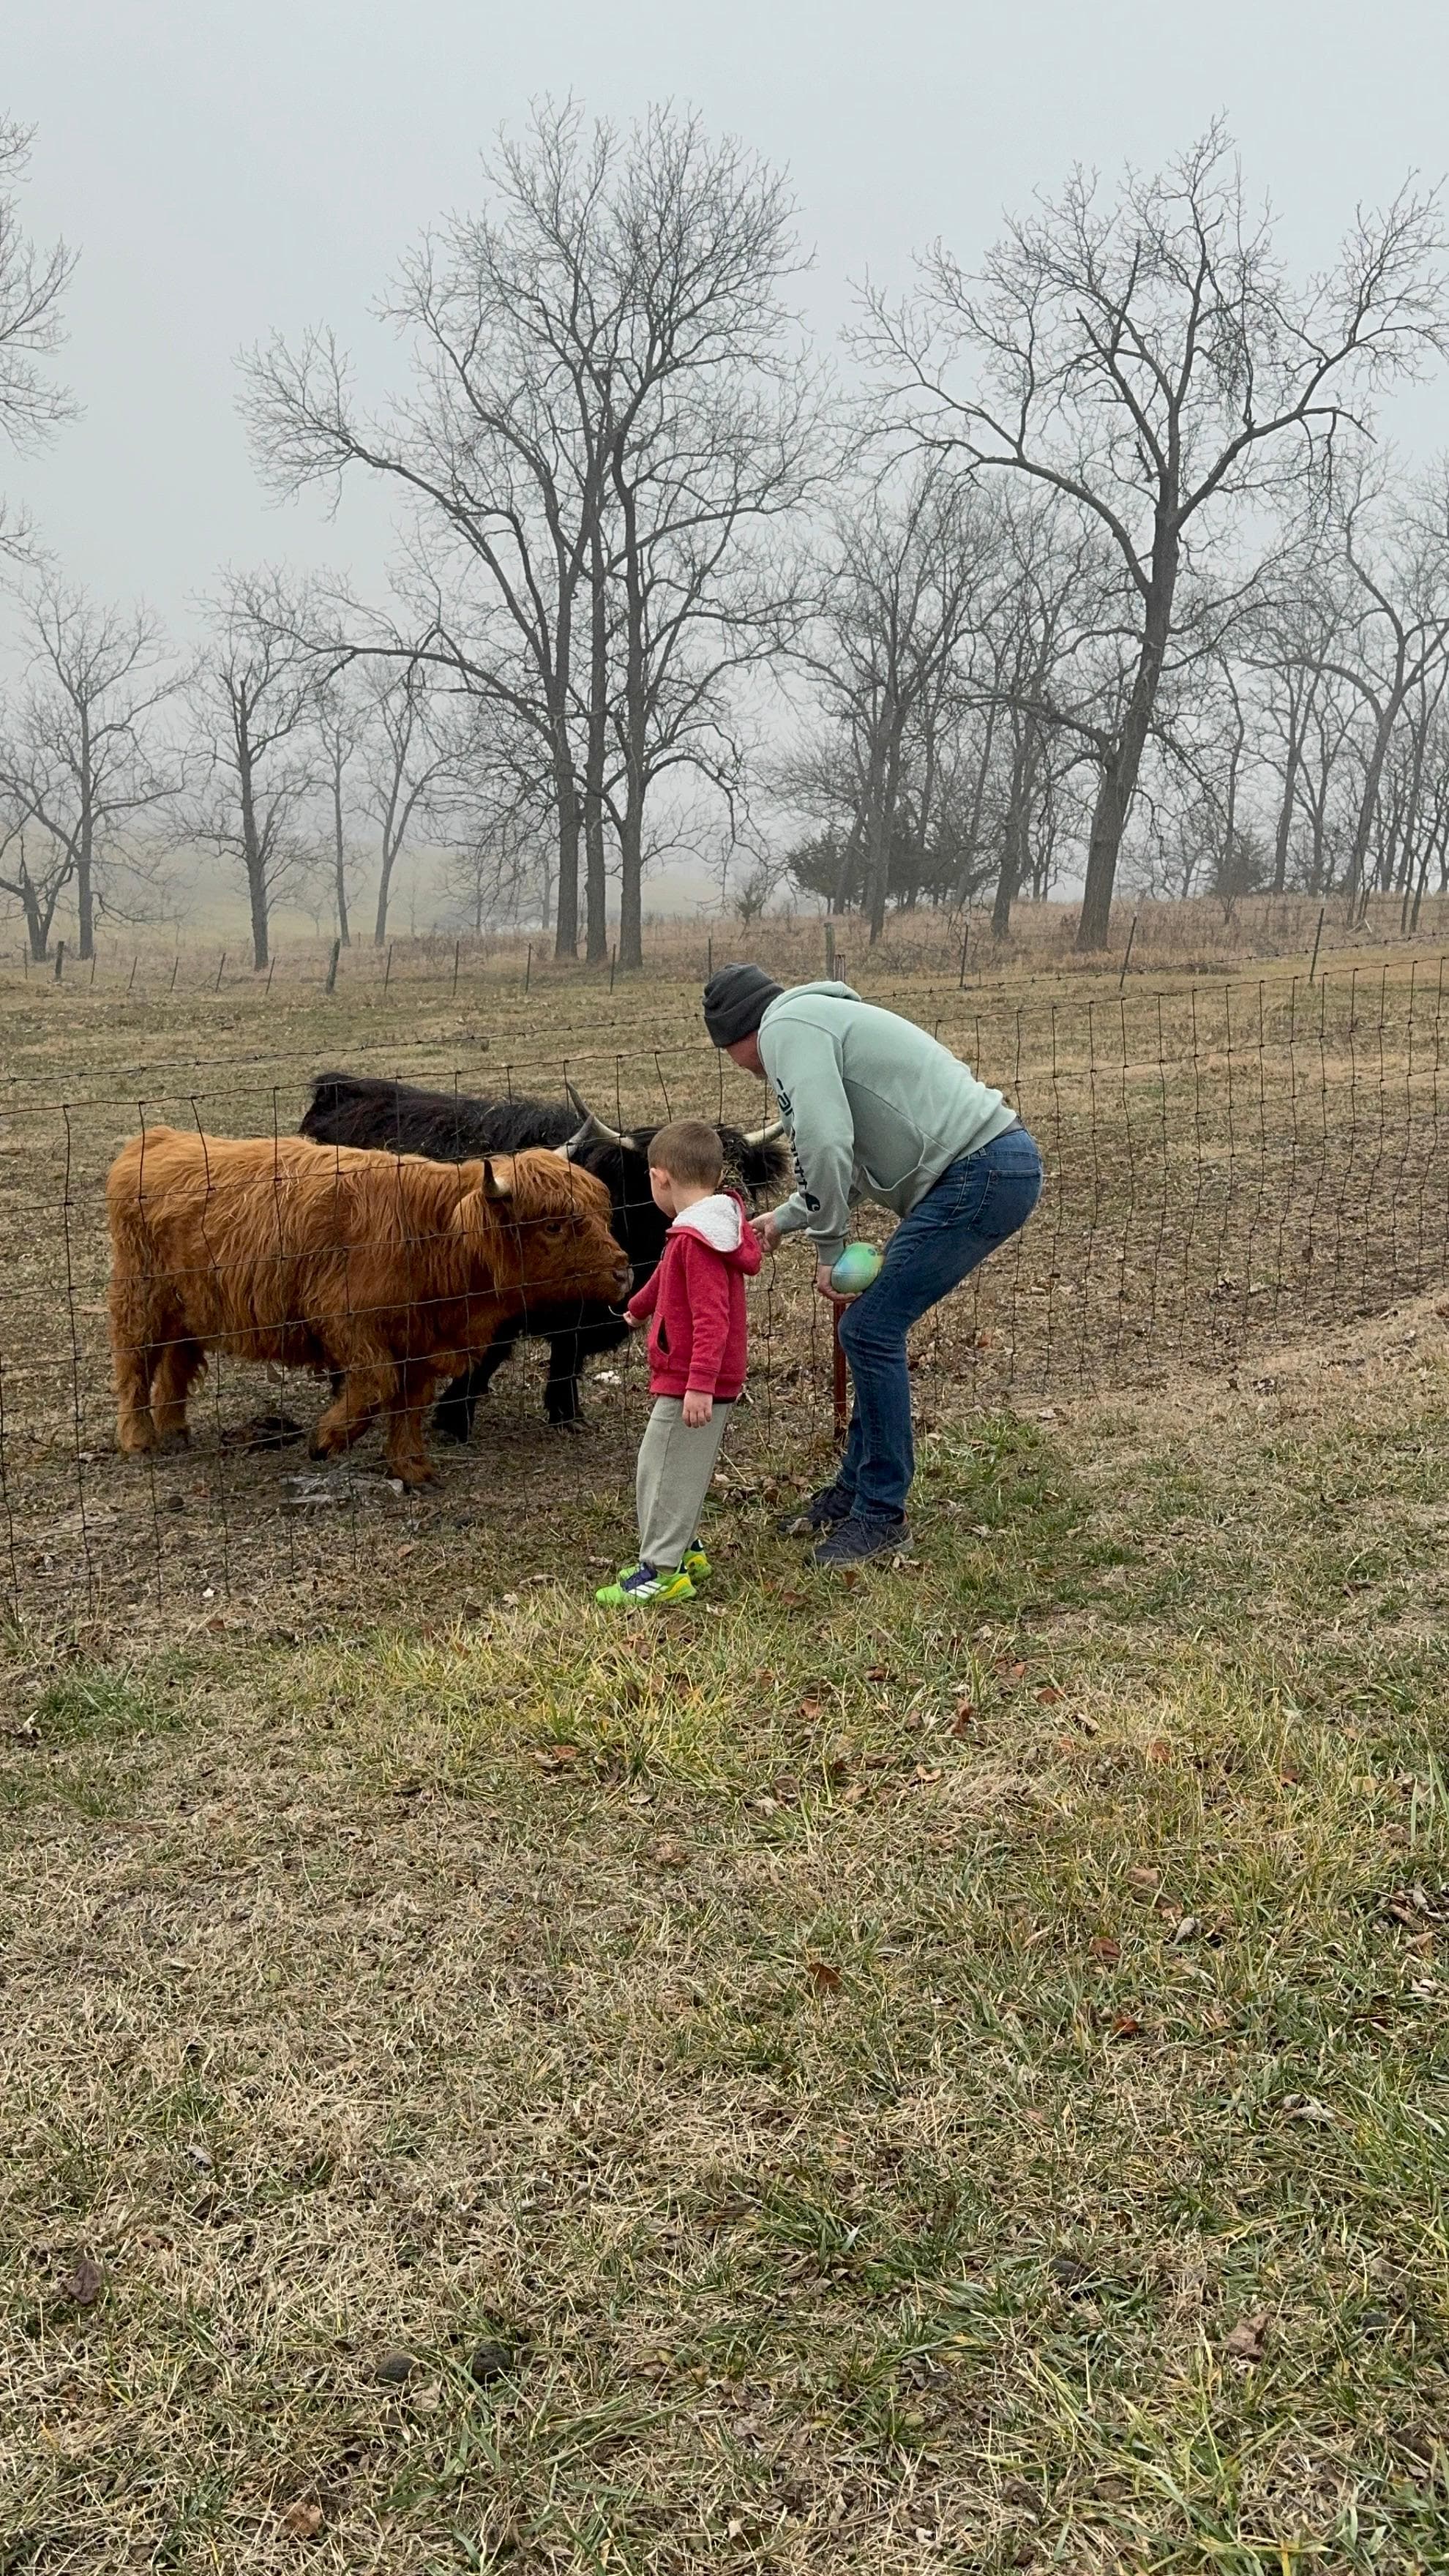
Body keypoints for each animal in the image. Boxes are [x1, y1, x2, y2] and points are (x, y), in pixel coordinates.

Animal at [106, 1127, 628, 1488]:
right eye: (554, 1225)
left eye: (601, 1212)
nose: (624, 1271)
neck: (434, 1236)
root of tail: (157, 1139)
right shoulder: (347, 1324)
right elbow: (378, 1386)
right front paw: (326, 1440)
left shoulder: (420, 1341)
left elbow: (409, 1403)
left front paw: (412, 1468)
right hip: (140, 1300)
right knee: (134, 1363)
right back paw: (140, 1440)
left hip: (189, 1309)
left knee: (176, 1365)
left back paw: (174, 1430)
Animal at [299, 1072, 789, 1437]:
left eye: (742, 1179)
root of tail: (340, 1089)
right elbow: (488, 1357)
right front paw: (455, 1420)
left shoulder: (585, 1313)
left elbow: (566, 1358)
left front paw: (566, 1414)